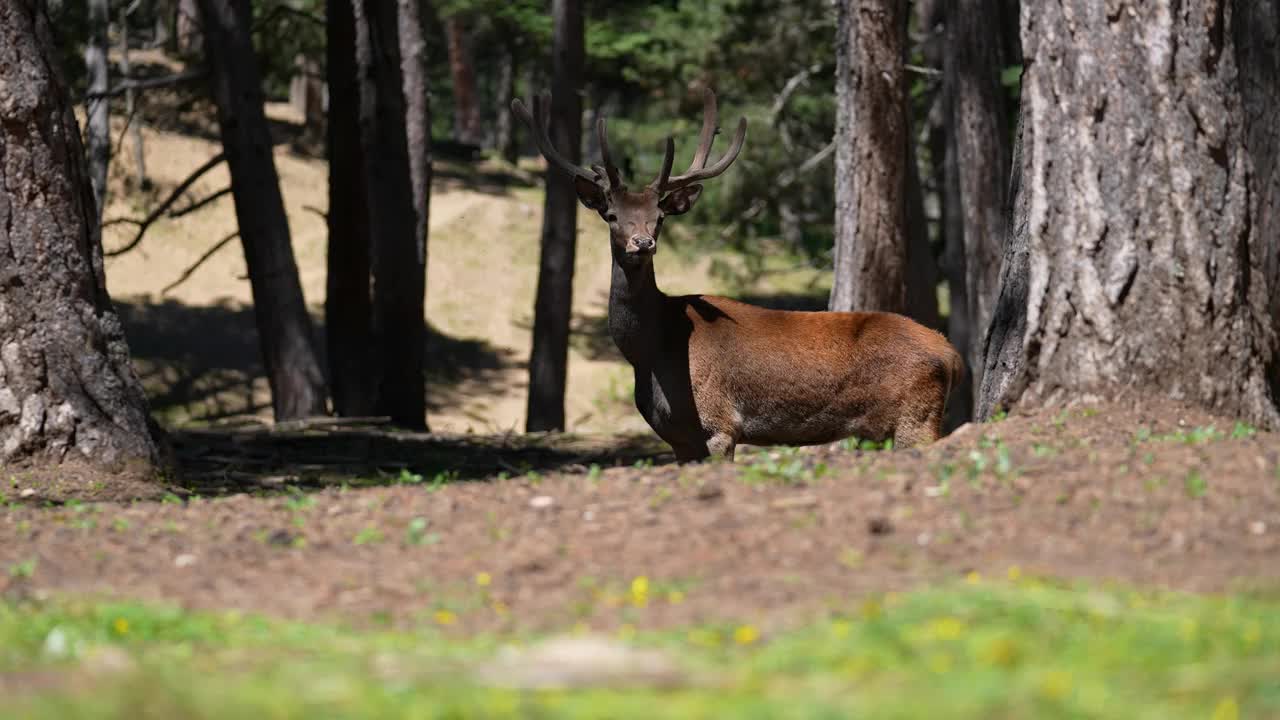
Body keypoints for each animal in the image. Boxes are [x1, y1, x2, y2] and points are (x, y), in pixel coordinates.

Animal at [509, 89, 962, 458]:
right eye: (612, 215)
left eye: (658, 217)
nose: (642, 242)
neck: (652, 351)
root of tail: (951, 354)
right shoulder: (680, 438)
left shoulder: (718, 425)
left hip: (916, 418)